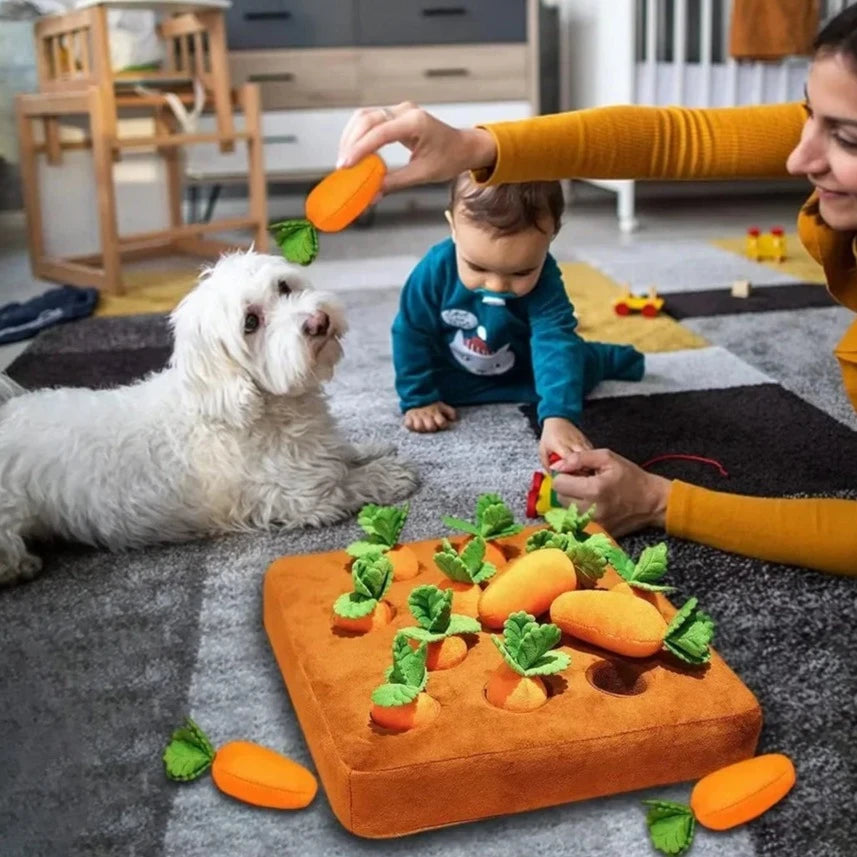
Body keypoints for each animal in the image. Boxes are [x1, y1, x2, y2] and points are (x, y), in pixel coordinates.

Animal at [0, 247, 418, 580]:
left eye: (284, 287)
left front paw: (368, 449)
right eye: (250, 323)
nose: (318, 322)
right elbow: (350, 483)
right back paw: (22, 567)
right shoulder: (304, 497)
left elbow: (342, 452)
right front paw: (388, 474)